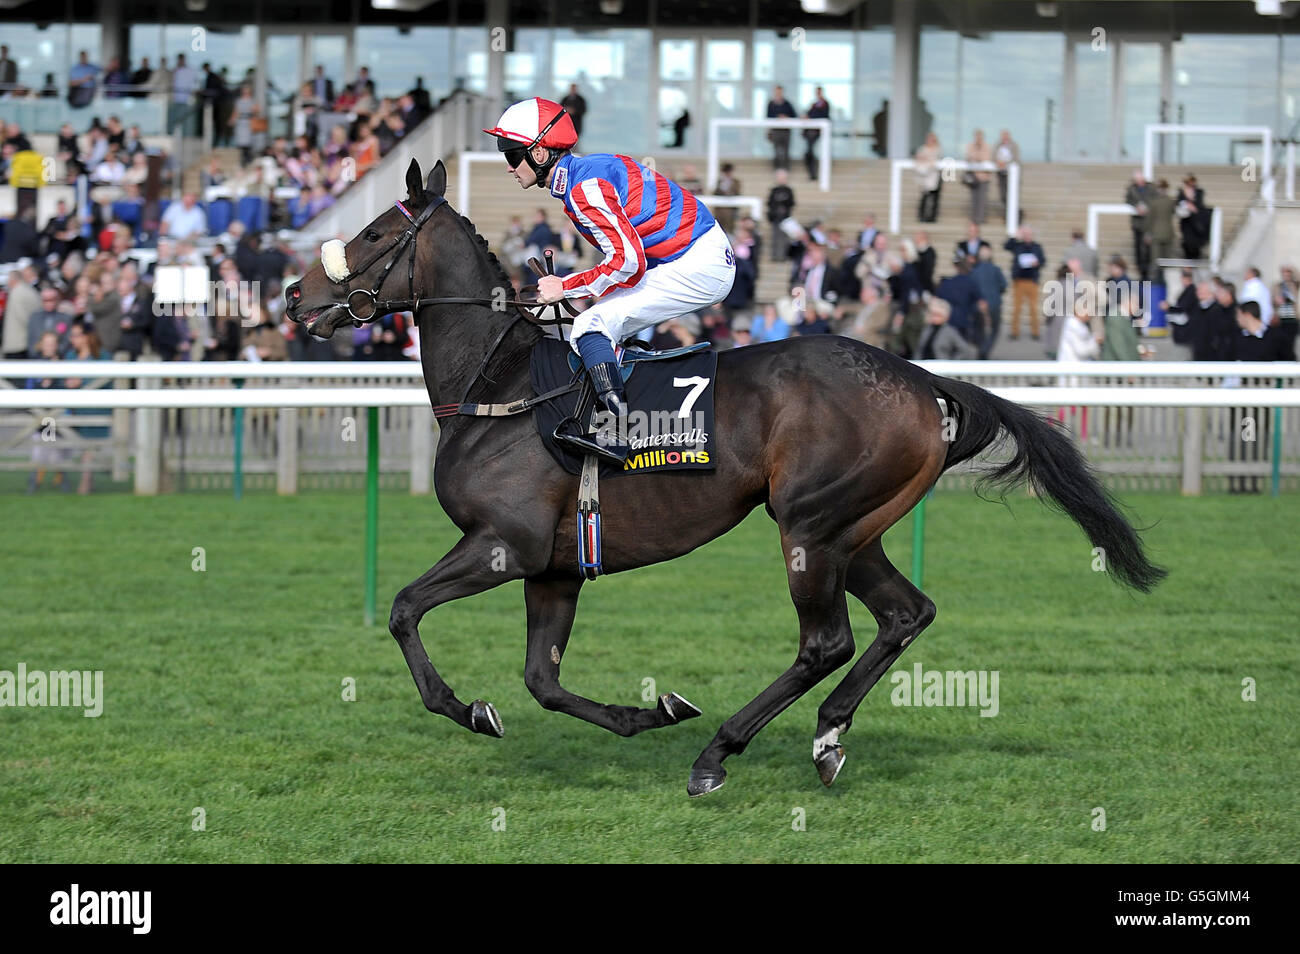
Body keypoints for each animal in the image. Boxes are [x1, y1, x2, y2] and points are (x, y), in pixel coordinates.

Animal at [284, 158, 1170, 800]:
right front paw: (649, 711)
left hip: (809, 525)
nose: (295, 293)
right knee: (905, 615)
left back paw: (720, 752)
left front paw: (471, 709)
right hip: (854, 530)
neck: (499, 388)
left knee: (826, 640)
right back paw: (826, 736)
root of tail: (920, 379)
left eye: (372, 232)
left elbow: (404, 612)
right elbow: (543, 680)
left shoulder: (504, 543)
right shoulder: (555, 565)